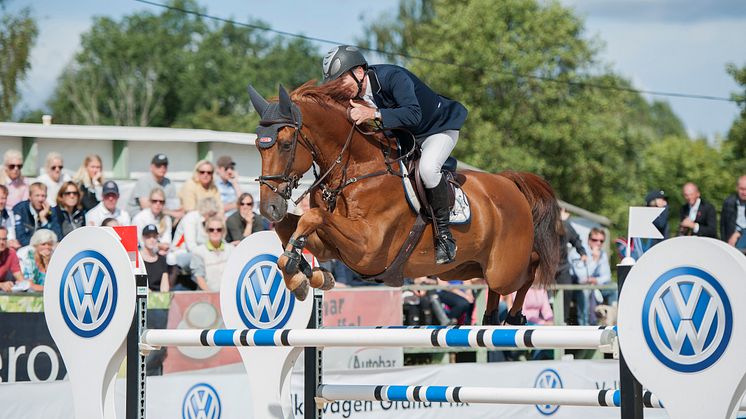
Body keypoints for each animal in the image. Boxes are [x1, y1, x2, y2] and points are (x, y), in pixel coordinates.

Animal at [246, 83, 560, 324]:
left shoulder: (368, 248)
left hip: (505, 267)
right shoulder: (333, 247)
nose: (269, 208)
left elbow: (311, 218)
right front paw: (306, 274)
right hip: (463, 268)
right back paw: (492, 317)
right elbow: (292, 226)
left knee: (530, 267)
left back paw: (515, 316)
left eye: (286, 144)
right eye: (259, 146)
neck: (357, 168)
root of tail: (510, 183)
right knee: (493, 286)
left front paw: (299, 272)